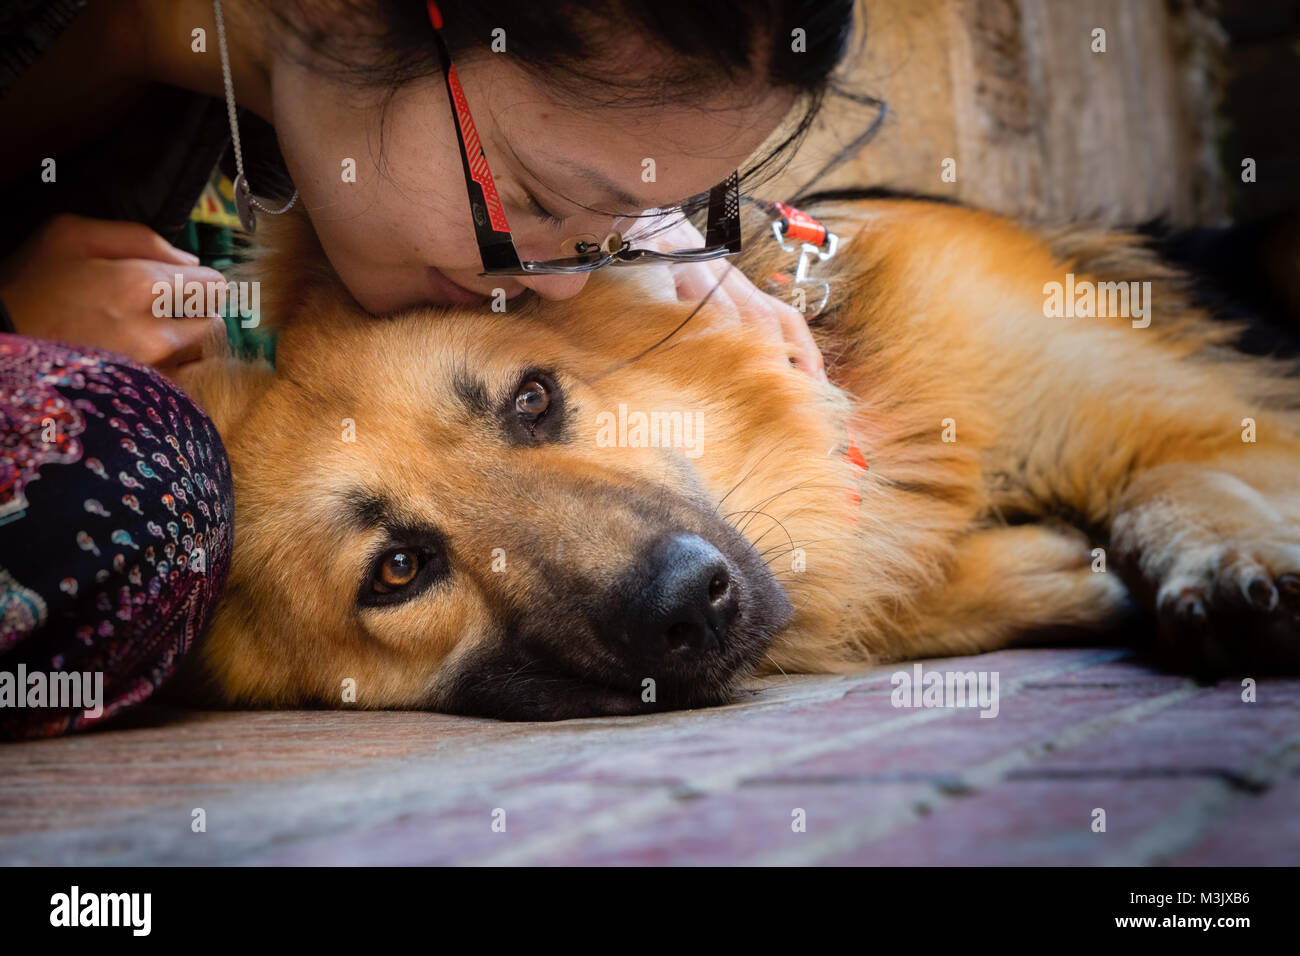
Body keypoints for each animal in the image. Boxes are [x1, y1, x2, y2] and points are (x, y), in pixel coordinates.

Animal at [170, 196, 1300, 717]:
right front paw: (1053, 571)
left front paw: (1216, 562)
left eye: (533, 401)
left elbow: (1164, 471)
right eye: (399, 569)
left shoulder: (1218, 424)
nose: (691, 601)